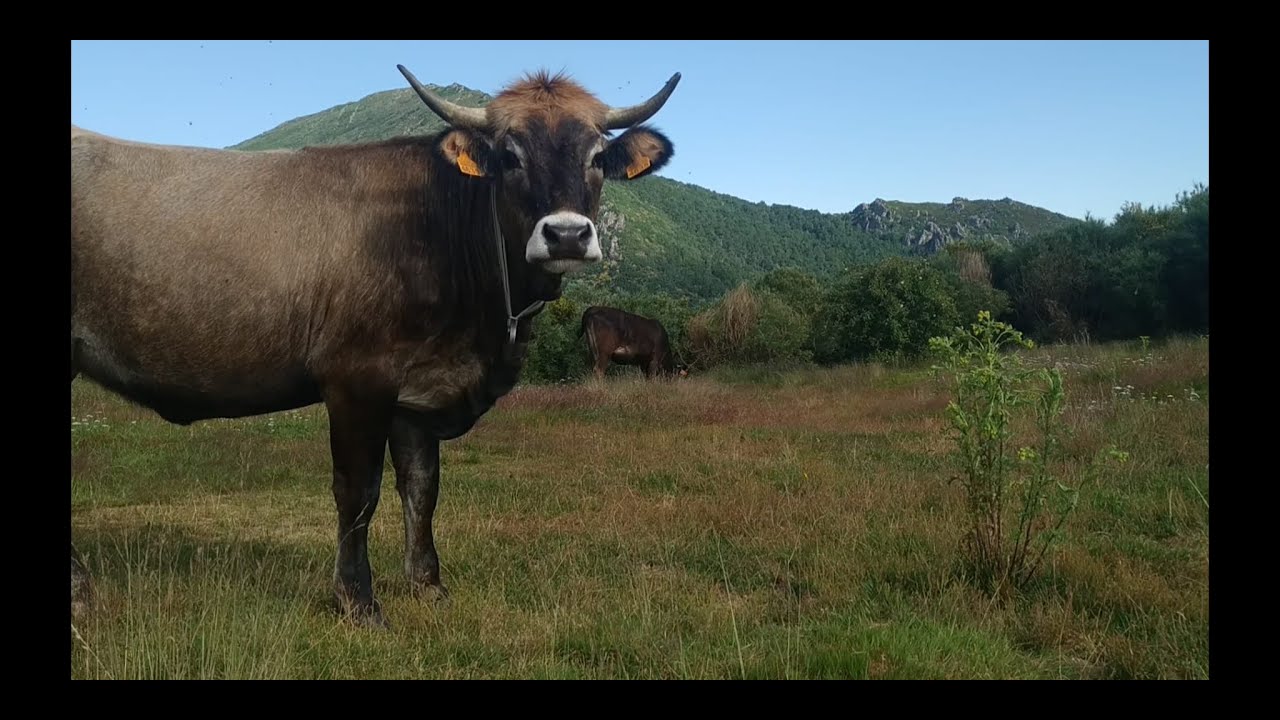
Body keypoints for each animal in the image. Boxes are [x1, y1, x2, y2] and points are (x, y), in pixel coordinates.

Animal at [70, 64, 681, 627]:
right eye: (510, 157)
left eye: (597, 157)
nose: (567, 235)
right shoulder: (356, 380)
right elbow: (358, 492)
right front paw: (358, 601)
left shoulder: (418, 395)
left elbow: (422, 488)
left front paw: (428, 585)